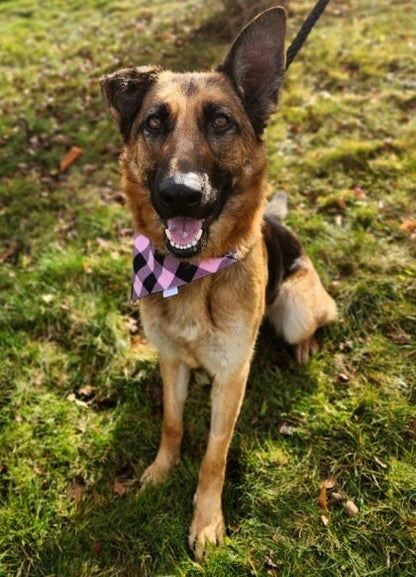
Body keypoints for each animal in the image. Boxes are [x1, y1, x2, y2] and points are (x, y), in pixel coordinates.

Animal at [101, 6, 338, 560]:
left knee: (318, 319)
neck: (188, 275)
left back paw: (305, 347)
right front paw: (158, 473)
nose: (180, 194)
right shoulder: (170, 360)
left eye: (221, 122)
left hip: (297, 309)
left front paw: (207, 521)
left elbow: (215, 453)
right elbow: (171, 424)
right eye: (154, 123)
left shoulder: (232, 377)